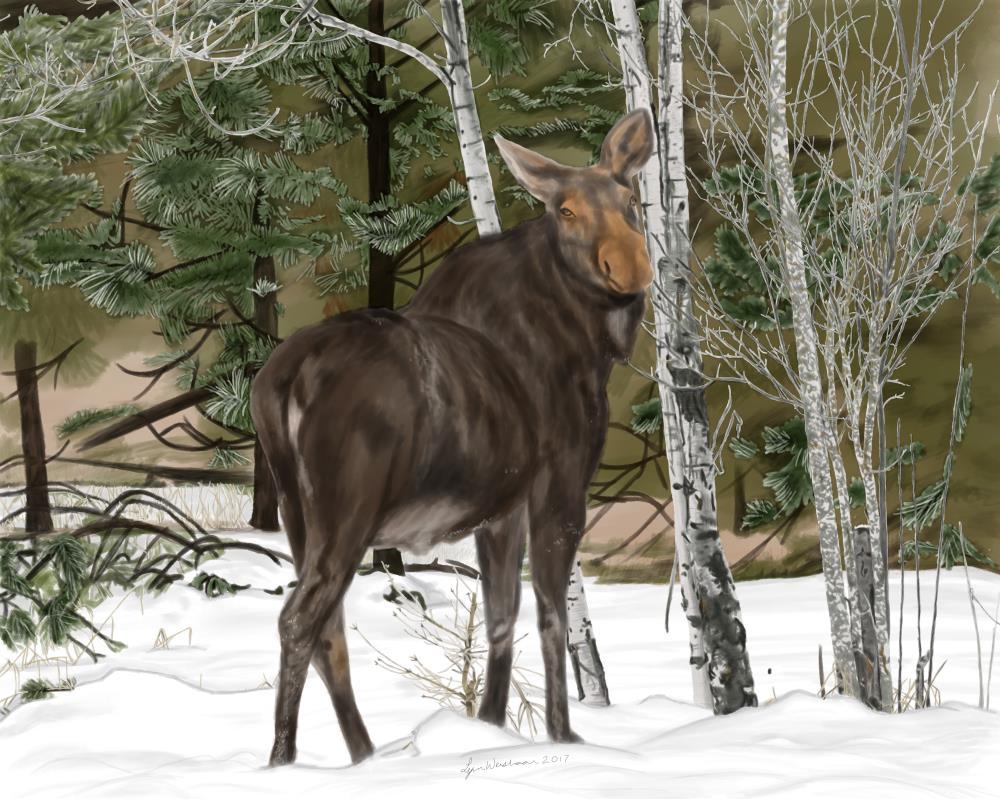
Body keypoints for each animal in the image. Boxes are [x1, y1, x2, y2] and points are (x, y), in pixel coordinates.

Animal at [250, 109, 655, 767]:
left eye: (629, 199)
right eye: (565, 210)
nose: (629, 266)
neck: (588, 342)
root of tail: (277, 384)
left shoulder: (500, 508)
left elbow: (500, 617)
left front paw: (488, 728)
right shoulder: (561, 482)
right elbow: (551, 615)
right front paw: (564, 733)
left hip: (294, 511)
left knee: (326, 629)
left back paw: (365, 756)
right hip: (346, 508)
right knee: (299, 619)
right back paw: (284, 760)